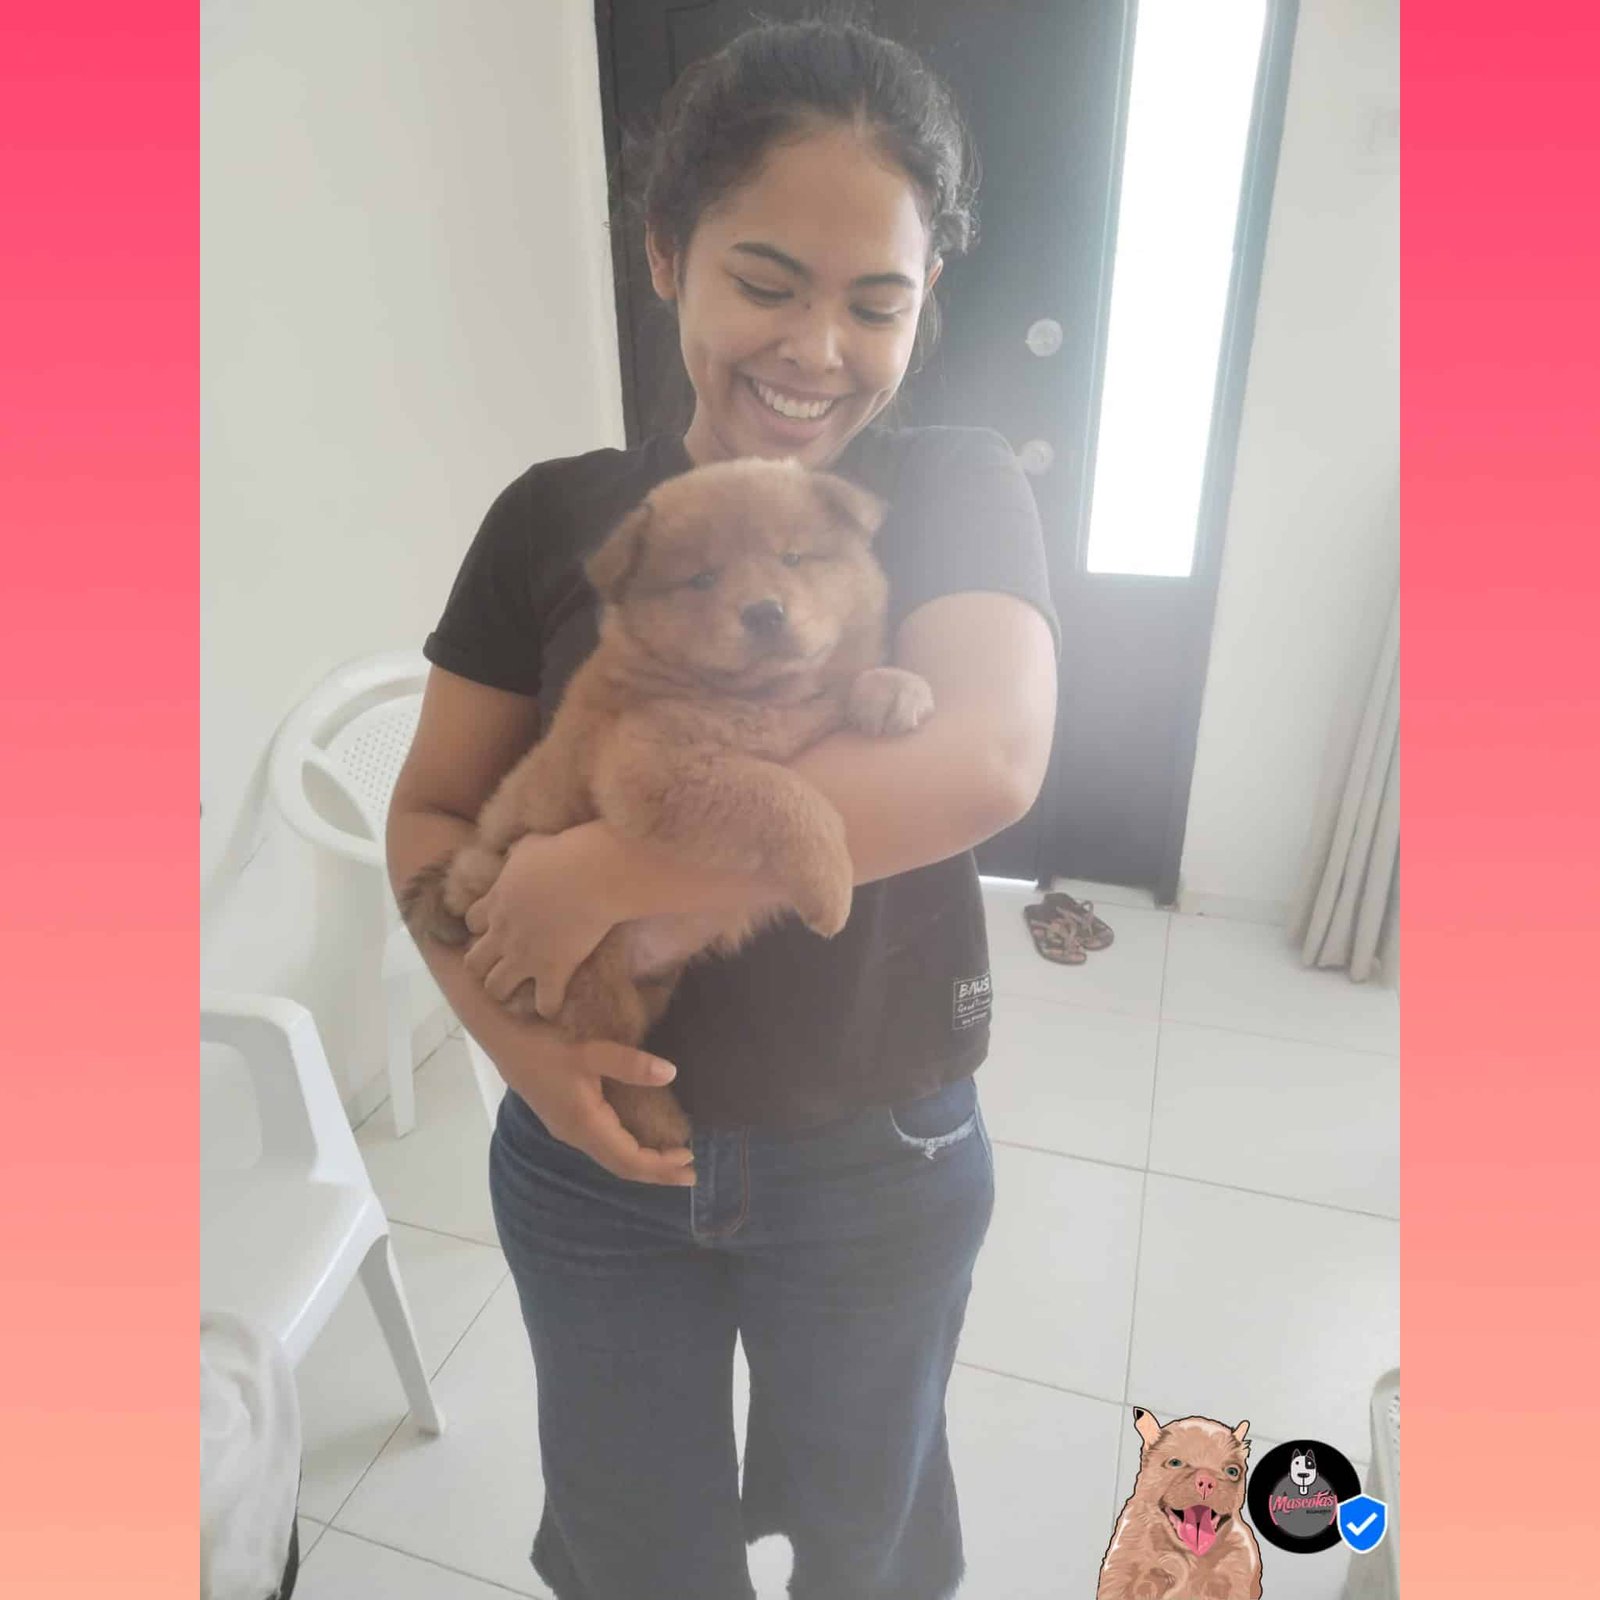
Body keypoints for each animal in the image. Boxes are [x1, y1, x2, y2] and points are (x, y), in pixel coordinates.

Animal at [399, 455, 935, 1152]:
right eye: (702, 578)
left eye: (793, 557)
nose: (764, 612)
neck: (761, 695)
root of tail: (460, 888)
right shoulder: (653, 770)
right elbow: (783, 793)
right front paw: (829, 886)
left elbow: (847, 685)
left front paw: (895, 688)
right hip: (585, 976)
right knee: (611, 1065)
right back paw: (661, 1129)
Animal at [1096, 1407, 1264, 1600]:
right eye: (1175, 1463)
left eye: (1232, 1472)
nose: (1207, 1481)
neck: (1189, 1556)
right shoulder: (1123, 1574)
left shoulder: (1236, 1576)